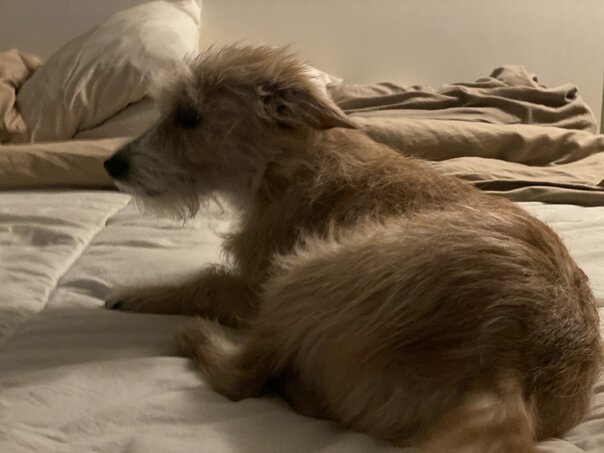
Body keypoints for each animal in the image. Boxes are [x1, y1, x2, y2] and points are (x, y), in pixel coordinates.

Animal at [104, 45, 602, 452]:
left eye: (189, 117)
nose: (112, 164)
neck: (293, 161)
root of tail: (504, 368)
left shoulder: (255, 285)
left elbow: (207, 282)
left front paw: (136, 294)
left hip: (304, 271)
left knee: (242, 376)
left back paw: (200, 336)